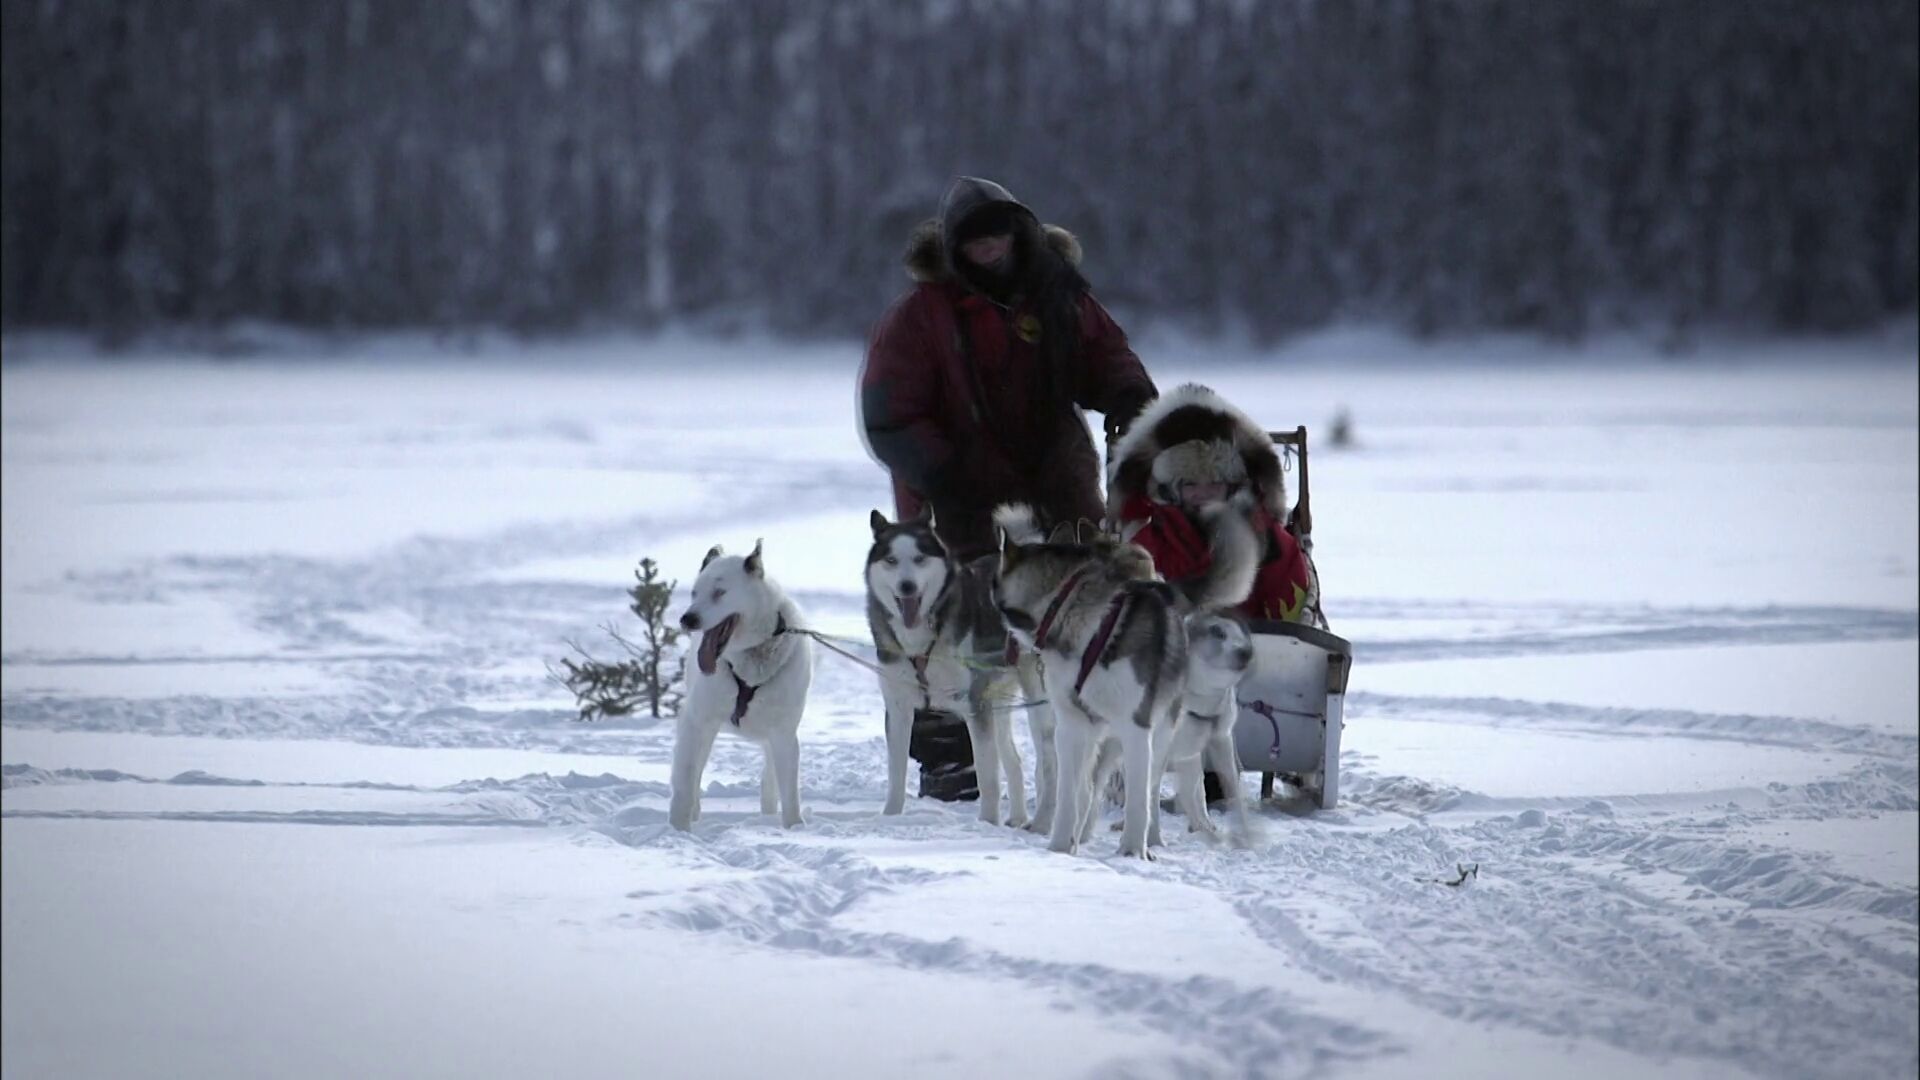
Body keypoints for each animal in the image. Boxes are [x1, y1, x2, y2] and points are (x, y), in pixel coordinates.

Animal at [672, 541, 814, 826]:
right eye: (694, 593)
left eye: (719, 593)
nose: (687, 619)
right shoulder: (697, 721)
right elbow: (686, 777)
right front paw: (678, 828)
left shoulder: (784, 733)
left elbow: (789, 791)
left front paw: (794, 826)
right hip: (705, 729)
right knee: (695, 770)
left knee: (770, 774)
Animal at [871, 507, 1052, 826]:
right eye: (891, 560)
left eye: (919, 558)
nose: (907, 586)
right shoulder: (898, 706)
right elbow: (896, 772)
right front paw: (890, 818)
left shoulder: (974, 703)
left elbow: (988, 776)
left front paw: (987, 823)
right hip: (999, 700)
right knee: (1015, 761)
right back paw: (1018, 819)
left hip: (1035, 695)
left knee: (1048, 758)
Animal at [990, 507, 1259, 853]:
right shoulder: (1071, 725)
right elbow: (1068, 795)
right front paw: (1061, 847)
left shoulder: (1136, 727)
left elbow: (1138, 799)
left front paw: (1131, 851)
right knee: (1089, 788)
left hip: (1160, 732)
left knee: (1150, 790)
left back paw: (1151, 838)